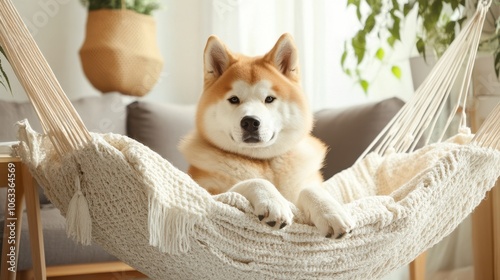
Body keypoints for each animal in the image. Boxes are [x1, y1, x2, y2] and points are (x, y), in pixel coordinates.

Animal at [178, 32, 354, 238]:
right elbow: (254, 181)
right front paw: (273, 201)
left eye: (269, 99)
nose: (250, 122)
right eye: (234, 99)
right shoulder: (211, 192)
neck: (263, 162)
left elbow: (311, 189)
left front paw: (330, 211)